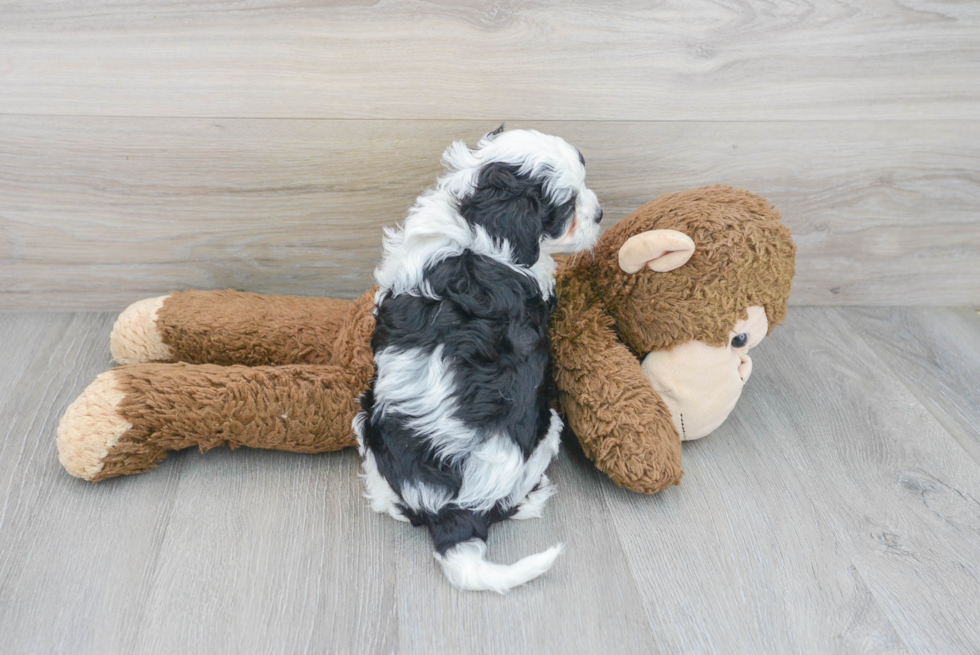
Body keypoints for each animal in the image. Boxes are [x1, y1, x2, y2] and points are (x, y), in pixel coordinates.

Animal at [350, 128, 596, 596]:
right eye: (566, 208)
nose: (600, 213)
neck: (473, 227)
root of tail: (453, 511)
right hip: (546, 428)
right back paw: (534, 497)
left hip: (366, 421)